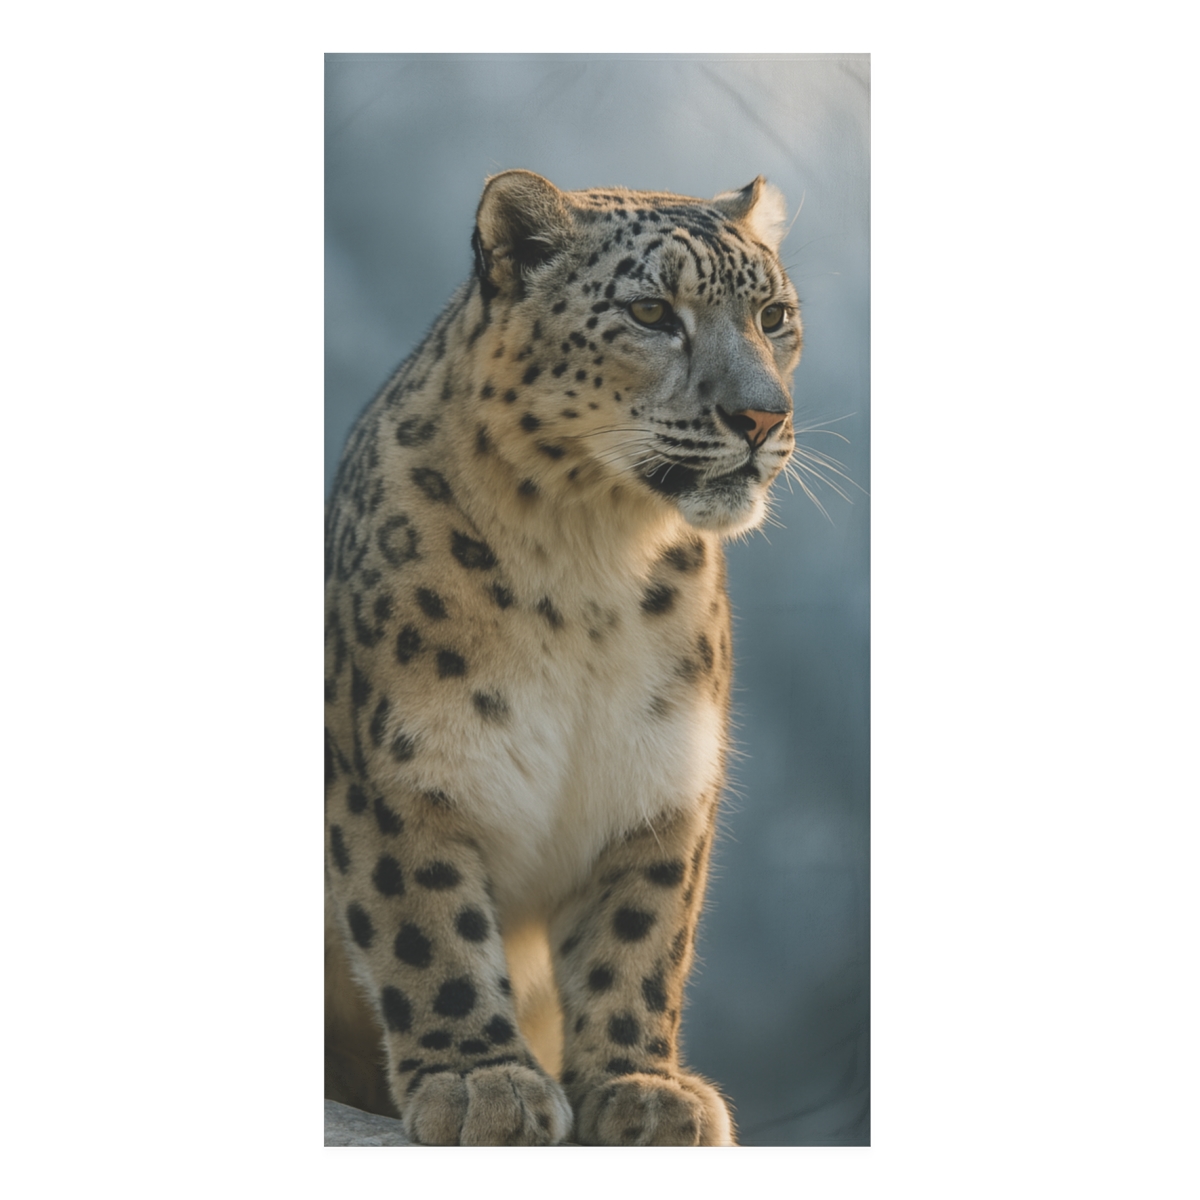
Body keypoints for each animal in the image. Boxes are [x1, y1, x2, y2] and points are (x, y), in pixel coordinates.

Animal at [324, 169, 801, 1146]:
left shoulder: (659, 782)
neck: (590, 566)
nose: (761, 415)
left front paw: (641, 1087)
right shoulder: (396, 773)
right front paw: (479, 1081)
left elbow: (640, 936)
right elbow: (424, 918)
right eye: (652, 311)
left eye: (774, 316)